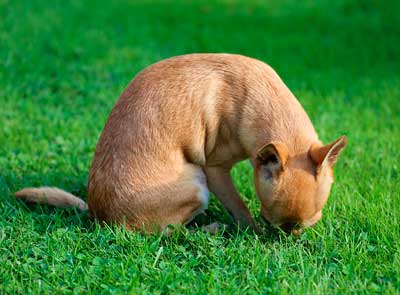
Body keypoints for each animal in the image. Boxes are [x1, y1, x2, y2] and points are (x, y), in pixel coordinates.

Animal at [15, 53, 346, 236]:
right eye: (267, 219)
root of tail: (100, 216)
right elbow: (239, 207)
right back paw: (209, 229)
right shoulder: (215, 169)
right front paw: (251, 232)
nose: (287, 238)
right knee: (170, 234)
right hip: (196, 184)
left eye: (310, 223)